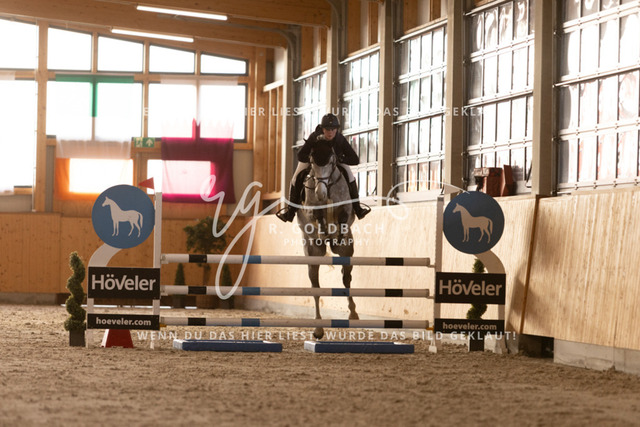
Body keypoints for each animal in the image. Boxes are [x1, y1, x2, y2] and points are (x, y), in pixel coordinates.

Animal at [296, 141, 358, 339]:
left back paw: (353, 314)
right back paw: (318, 329)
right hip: (312, 255)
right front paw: (324, 230)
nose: (320, 194)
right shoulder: (310, 209)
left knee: (346, 278)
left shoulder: (345, 208)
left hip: (347, 252)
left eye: (332, 162)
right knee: (316, 286)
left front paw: (336, 234)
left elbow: (343, 217)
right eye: (311, 162)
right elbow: (316, 215)